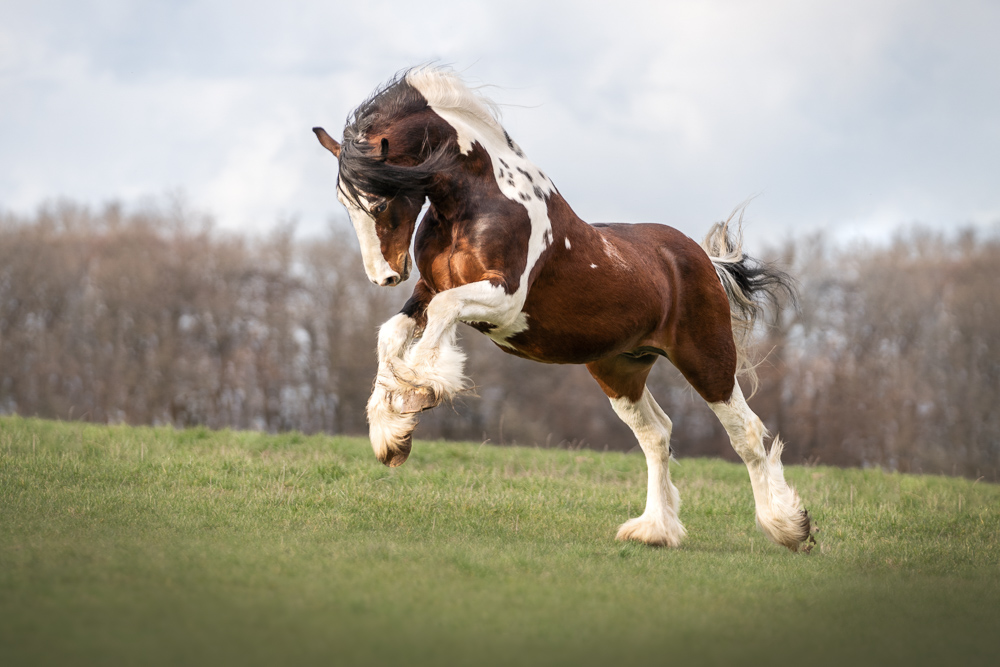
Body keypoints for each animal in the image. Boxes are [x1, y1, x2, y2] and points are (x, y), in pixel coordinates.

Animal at [313, 66, 815, 552]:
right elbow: (392, 333)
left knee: (745, 433)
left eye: (379, 200)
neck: (478, 202)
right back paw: (656, 530)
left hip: (706, 359)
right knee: (657, 435)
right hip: (619, 369)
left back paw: (790, 528)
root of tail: (704, 261)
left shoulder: (502, 299)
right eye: (344, 202)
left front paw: (422, 391)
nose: (383, 276)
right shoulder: (428, 286)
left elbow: (438, 319)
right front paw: (390, 433)